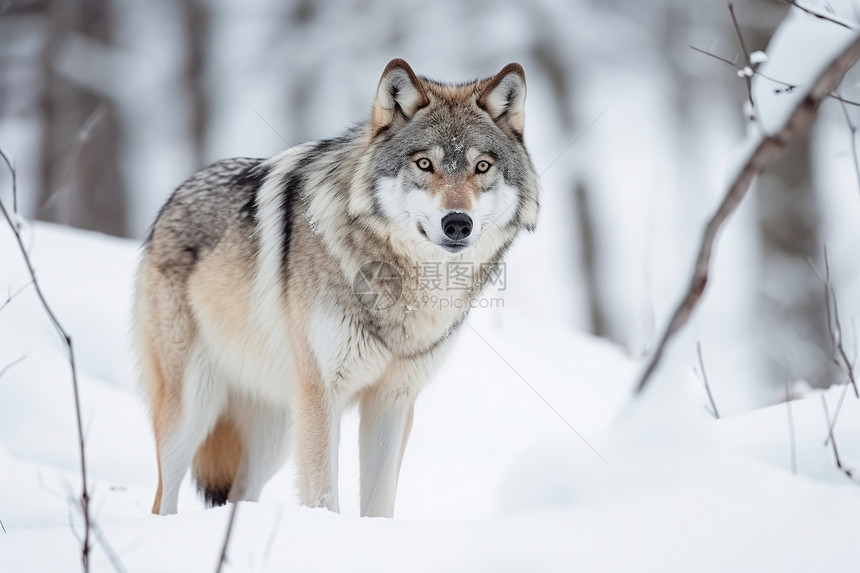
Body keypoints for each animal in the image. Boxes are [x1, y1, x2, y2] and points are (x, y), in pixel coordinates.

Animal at [134, 59, 536, 520]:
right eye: (424, 164)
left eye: (482, 167)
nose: (457, 223)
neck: (407, 288)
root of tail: (174, 196)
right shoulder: (322, 395)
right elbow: (324, 498)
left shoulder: (392, 400)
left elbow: (379, 504)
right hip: (192, 410)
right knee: (162, 500)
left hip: (275, 431)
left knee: (239, 494)